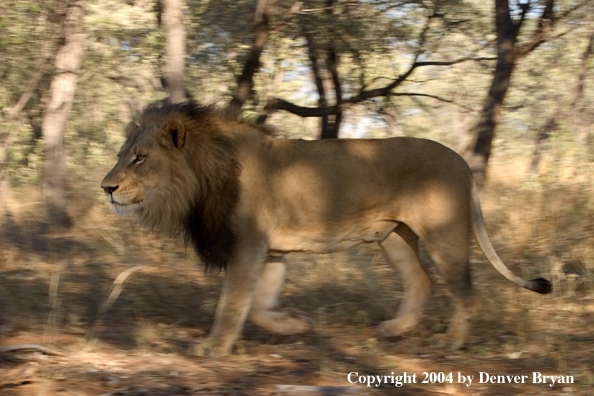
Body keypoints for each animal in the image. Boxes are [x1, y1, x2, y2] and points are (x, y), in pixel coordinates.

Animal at [99, 100, 548, 358]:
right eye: (122, 155)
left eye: (140, 158)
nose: (106, 188)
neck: (204, 174)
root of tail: (463, 162)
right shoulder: (270, 251)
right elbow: (258, 306)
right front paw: (294, 325)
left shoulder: (248, 245)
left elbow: (232, 304)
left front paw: (213, 347)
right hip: (394, 236)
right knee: (422, 281)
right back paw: (394, 328)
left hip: (444, 235)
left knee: (466, 292)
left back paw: (452, 342)